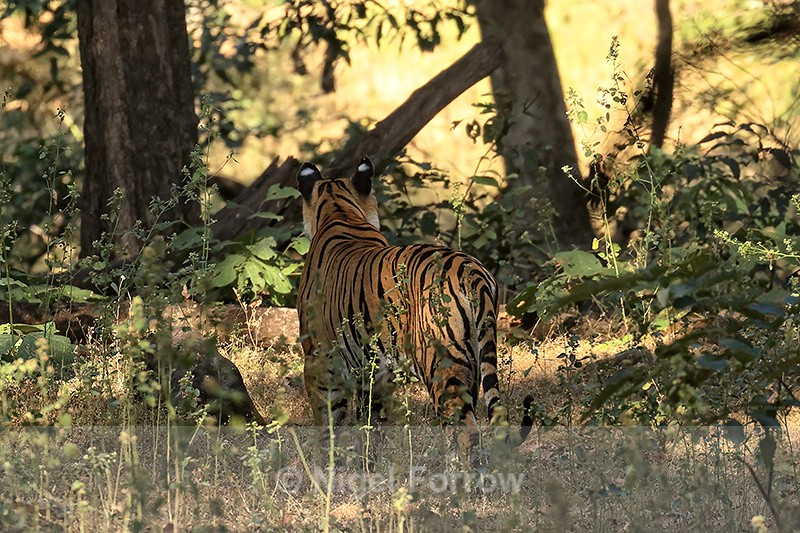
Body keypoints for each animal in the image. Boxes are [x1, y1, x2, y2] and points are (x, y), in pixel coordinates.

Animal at [296, 156, 532, 458]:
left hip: (440, 364)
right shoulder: (375, 372)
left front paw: (327, 462)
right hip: (474, 362)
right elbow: (372, 423)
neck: (340, 212)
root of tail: (471, 270)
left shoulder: (320, 361)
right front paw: (368, 463)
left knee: (464, 430)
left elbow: (328, 422)